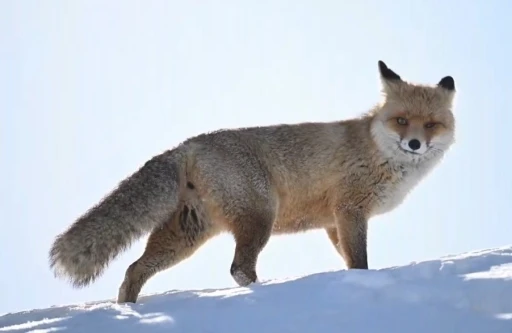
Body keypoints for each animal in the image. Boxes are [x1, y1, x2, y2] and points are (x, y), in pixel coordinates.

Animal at [48, 60, 456, 304]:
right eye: (402, 121)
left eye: (430, 124)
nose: (415, 144)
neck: (377, 151)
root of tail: (187, 145)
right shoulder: (349, 209)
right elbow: (359, 261)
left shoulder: (333, 221)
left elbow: (349, 260)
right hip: (261, 217)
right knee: (239, 269)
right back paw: (269, 292)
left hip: (186, 236)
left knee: (135, 269)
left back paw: (128, 311)